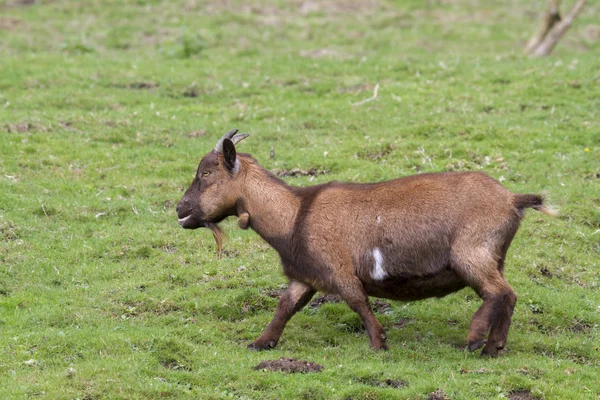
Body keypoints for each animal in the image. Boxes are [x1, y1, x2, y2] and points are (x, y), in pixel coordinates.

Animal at [176, 129, 556, 356]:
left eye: (206, 173)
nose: (181, 209)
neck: (295, 214)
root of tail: (512, 200)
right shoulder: (306, 276)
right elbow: (286, 306)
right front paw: (260, 343)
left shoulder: (340, 270)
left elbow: (358, 301)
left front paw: (378, 344)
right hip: (491, 257)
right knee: (507, 295)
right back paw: (494, 347)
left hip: (472, 253)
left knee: (499, 292)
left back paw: (475, 338)